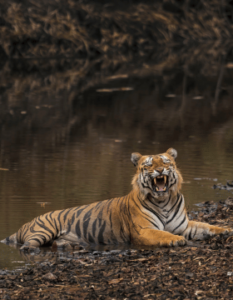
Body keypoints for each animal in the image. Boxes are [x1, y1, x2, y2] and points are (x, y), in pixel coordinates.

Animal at [1, 148, 231, 251]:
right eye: (148, 165)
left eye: (165, 161)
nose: (159, 170)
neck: (163, 200)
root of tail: (25, 224)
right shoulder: (143, 230)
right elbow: (162, 233)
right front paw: (176, 240)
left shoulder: (184, 225)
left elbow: (207, 226)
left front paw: (226, 229)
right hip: (43, 230)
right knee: (27, 245)